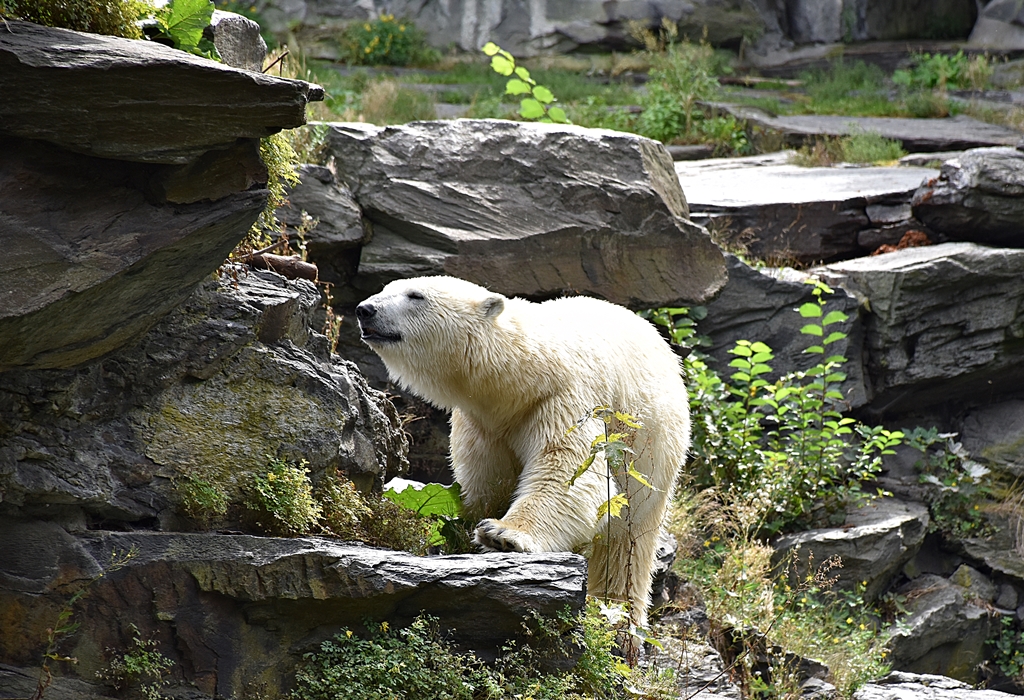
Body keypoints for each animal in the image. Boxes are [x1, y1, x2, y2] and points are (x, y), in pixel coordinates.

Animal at [356, 275, 690, 632]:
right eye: (386, 289)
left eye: (415, 295)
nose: (365, 310)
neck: (520, 377)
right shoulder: (484, 426)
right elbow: (486, 484)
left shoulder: (561, 399)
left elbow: (568, 472)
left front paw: (502, 534)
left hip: (650, 451)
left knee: (624, 545)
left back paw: (615, 618)